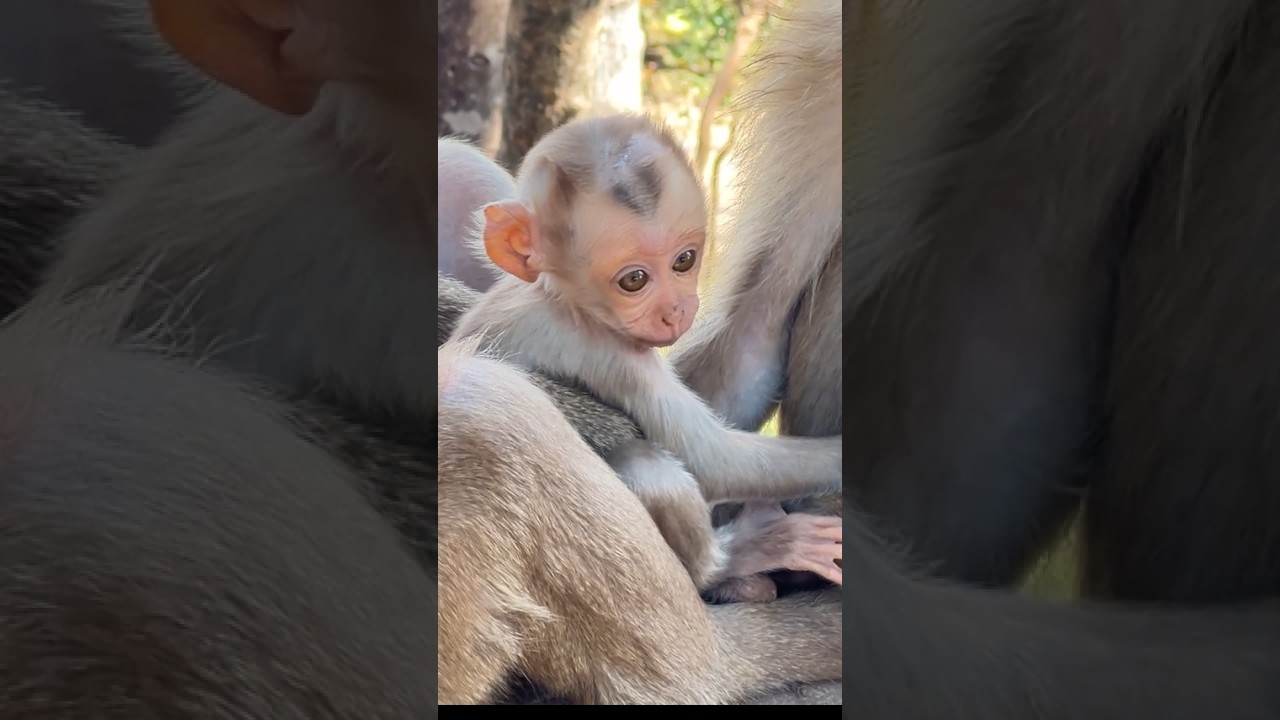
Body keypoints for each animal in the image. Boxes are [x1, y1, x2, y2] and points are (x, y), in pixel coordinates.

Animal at [451, 114, 843, 595]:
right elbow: (712, 462)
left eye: (684, 260)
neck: (559, 296)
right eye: (634, 280)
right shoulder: (616, 356)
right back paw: (736, 559)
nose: (675, 310)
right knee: (647, 462)